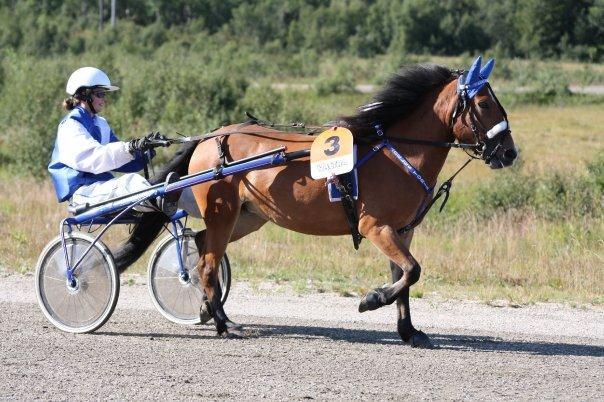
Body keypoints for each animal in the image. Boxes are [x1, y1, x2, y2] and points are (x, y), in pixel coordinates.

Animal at [112, 56, 516, 348]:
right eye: (484, 103)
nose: (509, 152)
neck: (397, 152)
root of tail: (210, 137)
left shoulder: (402, 230)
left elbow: (404, 277)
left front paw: (409, 331)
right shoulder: (376, 226)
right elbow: (412, 271)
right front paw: (371, 299)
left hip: (247, 217)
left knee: (200, 246)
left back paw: (208, 310)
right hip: (223, 212)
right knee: (208, 263)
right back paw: (226, 324)